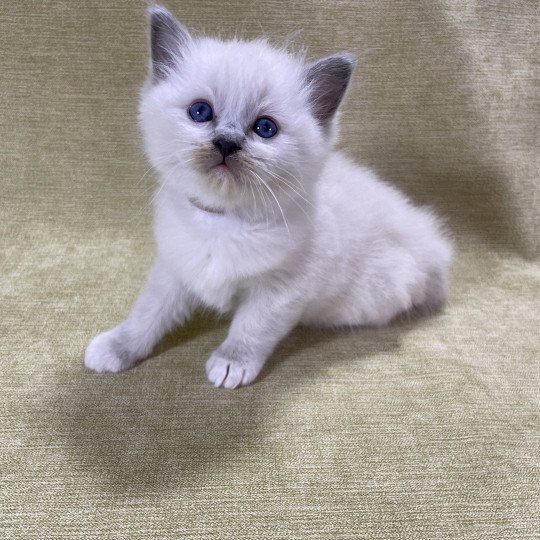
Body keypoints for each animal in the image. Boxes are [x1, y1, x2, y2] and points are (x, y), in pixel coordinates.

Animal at [84, 7, 452, 388]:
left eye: (265, 128)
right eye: (200, 112)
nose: (227, 143)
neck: (224, 221)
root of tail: (432, 241)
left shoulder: (281, 290)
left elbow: (251, 329)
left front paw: (231, 364)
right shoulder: (174, 267)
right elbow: (147, 313)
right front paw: (117, 348)